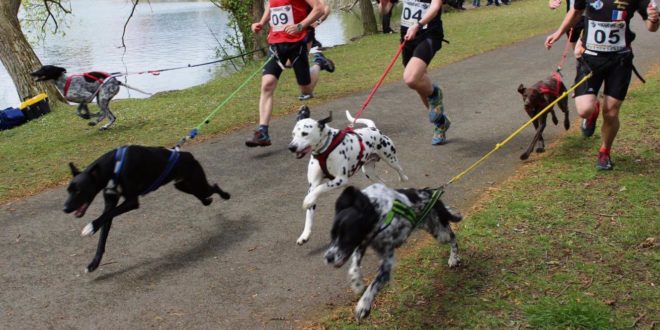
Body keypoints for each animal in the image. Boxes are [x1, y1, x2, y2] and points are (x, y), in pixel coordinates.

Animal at [64, 146, 229, 272]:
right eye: (68, 190)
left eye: (78, 191)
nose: (65, 208)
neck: (114, 165)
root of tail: (189, 155)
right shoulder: (110, 203)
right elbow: (103, 233)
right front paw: (94, 264)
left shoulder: (131, 202)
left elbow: (106, 216)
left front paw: (90, 227)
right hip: (184, 186)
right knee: (204, 196)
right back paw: (208, 201)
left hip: (197, 183)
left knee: (213, 187)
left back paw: (225, 195)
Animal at [288, 110, 408, 245]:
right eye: (293, 134)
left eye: (304, 133)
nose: (291, 147)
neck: (325, 149)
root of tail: (373, 128)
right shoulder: (312, 185)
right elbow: (310, 210)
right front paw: (305, 234)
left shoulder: (340, 180)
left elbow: (320, 188)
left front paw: (307, 201)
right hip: (369, 172)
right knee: (382, 183)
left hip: (391, 159)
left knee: (401, 172)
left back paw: (403, 183)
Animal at [326, 183, 464, 320]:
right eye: (332, 235)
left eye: (347, 237)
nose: (328, 257)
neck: (378, 212)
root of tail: (431, 193)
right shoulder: (363, 243)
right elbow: (354, 266)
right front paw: (357, 283)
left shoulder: (386, 263)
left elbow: (374, 285)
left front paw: (363, 305)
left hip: (440, 233)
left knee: (453, 238)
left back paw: (453, 258)